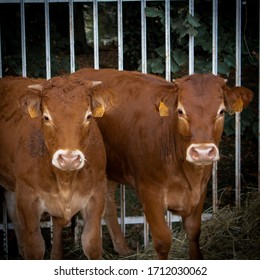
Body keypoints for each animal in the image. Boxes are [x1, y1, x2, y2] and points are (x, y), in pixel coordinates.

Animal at [0, 75, 113, 260]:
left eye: (88, 116)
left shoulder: (96, 194)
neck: (65, 180)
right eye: (46, 117)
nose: (69, 159)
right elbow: (35, 248)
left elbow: (91, 243)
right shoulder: (27, 197)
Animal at [70, 68, 253, 260]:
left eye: (221, 111)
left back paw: (122, 248)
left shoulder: (201, 189)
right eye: (180, 111)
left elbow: (194, 232)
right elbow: (163, 241)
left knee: (108, 201)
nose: (202, 151)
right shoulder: (149, 193)